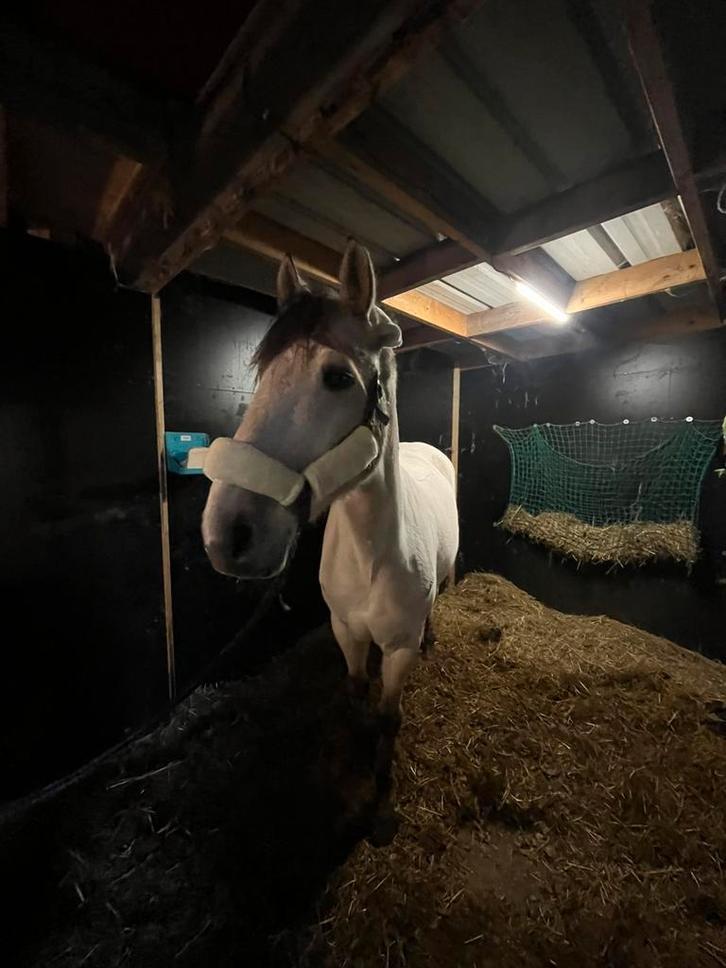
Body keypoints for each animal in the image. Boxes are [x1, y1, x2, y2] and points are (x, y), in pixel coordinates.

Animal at [201, 240, 459, 729]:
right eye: (263, 374)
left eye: (338, 377)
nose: (228, 535)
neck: (371, 558)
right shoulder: (347, 634)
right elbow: (356, 689)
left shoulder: (398, 651)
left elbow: (386, 719)